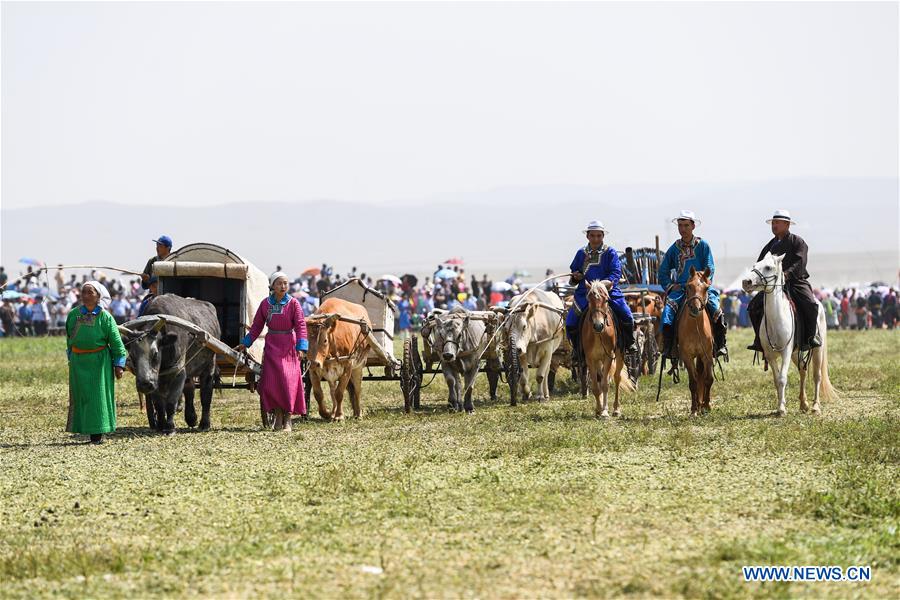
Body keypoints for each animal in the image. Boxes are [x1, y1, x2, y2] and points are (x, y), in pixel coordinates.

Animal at [740, 251, 840, 414]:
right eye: (755, 265)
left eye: (768, 267)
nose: (746, 282)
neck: (776, 319)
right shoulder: (770, 355)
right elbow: (776, 380)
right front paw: (780, 406)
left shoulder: (786, 351)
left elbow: (782, 378)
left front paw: (782, 408)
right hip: (796, 352)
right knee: (803, 369)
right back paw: (803, 403)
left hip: (817, 349)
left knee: (817, 375)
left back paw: (815, 406)